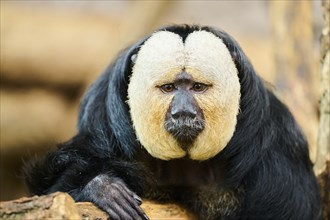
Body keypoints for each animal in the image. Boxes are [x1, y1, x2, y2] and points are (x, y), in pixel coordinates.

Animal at [21, 24, 320, 220]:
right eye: (169, 88)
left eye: (197, 87)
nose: (183, 112)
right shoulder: (102, 123)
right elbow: (52, 190)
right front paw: (102, 189)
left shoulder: (277, 148)